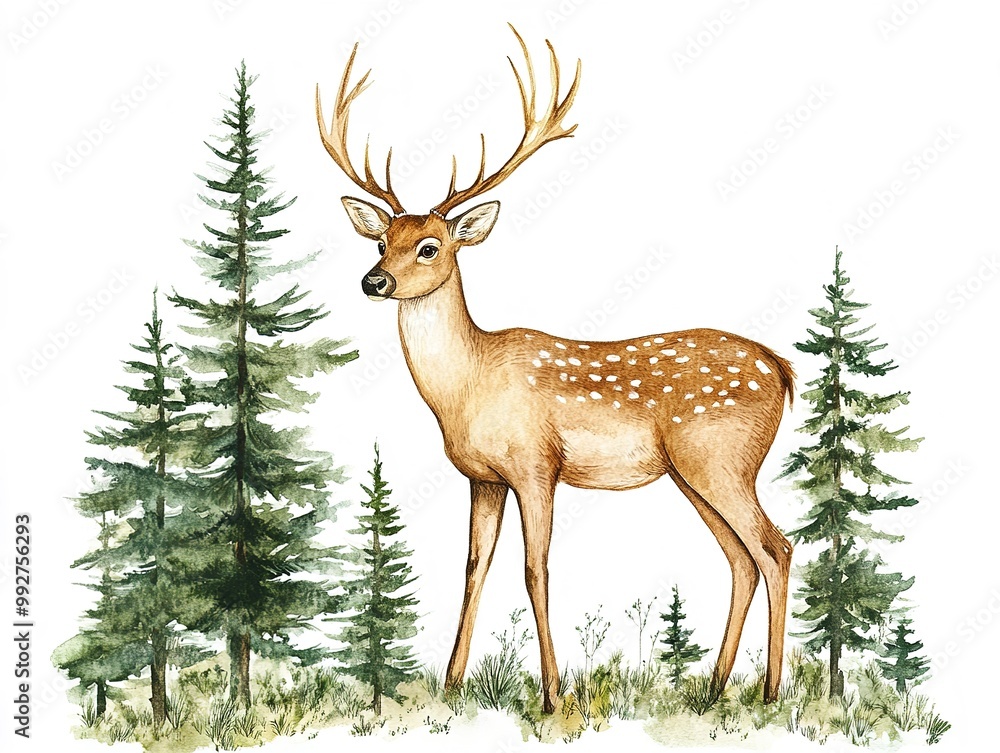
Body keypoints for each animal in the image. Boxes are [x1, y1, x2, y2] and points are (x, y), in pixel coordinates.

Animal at [316, 26, 795, 714]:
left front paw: (552, 695)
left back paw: (769, 693)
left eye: (429, 246)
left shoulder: (536, 465)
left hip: (722, 457)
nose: (372, 280)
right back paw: (712, 689)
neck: (467, 389)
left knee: (775, 548)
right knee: (741, 558)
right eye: (381, 242)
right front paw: (451, 686)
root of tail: (781, 369)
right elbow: (473, 568)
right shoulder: (482, 477)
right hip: (693, 473)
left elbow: (534, 569)